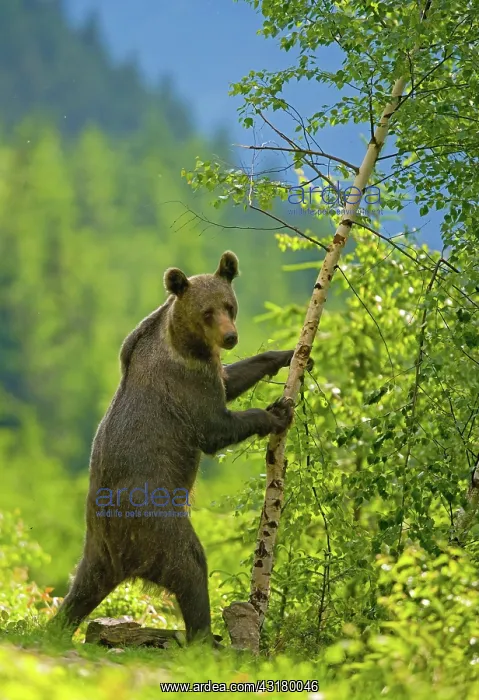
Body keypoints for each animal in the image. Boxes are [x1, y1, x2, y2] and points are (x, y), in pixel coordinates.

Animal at [50, 251, 302, 644]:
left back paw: (56, 625)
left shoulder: (211, 369)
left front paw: (286, 353)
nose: (230, 336)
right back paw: (206, 637)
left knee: (83, 588)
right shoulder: (185, 385)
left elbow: (232, 379)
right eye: (207, 312)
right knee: (190, 566)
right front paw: (277, 413)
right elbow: (214, 428)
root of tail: (109, 543)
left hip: (99, 550)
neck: (186, 343)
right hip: (156, 521)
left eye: (229, 305)